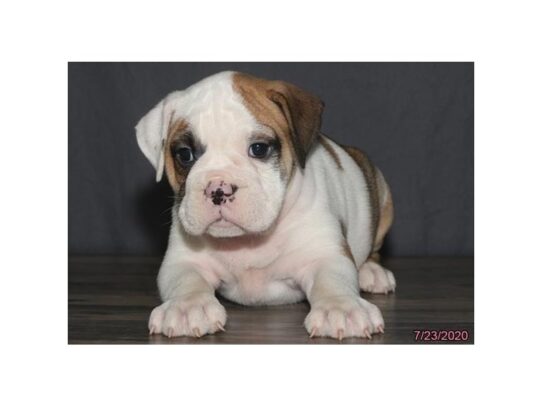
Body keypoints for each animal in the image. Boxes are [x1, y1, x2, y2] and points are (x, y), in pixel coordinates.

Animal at [136, 71, 396, 342]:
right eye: (185, 155)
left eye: (259, 149)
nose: (218, 188)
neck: (247, 242)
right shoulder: (183, 261)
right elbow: (186, 281)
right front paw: (187, 306)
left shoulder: (325, 254)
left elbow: (333, 281)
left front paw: (341, 307)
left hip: (382, 197)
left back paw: (371, 272)